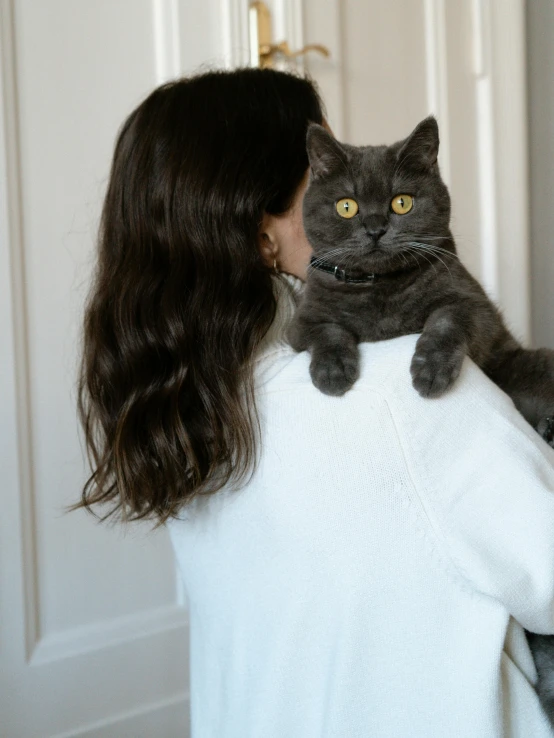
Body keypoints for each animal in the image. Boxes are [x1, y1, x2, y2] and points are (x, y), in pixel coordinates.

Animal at [286, 118, 552, 720]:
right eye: (346, 205)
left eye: (402, 201)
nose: (375, 227)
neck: (380, 296)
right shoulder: (301, 323)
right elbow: (329, 329)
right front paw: (333, 372)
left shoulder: (472, 308)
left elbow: (444, 321)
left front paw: (428, 373)